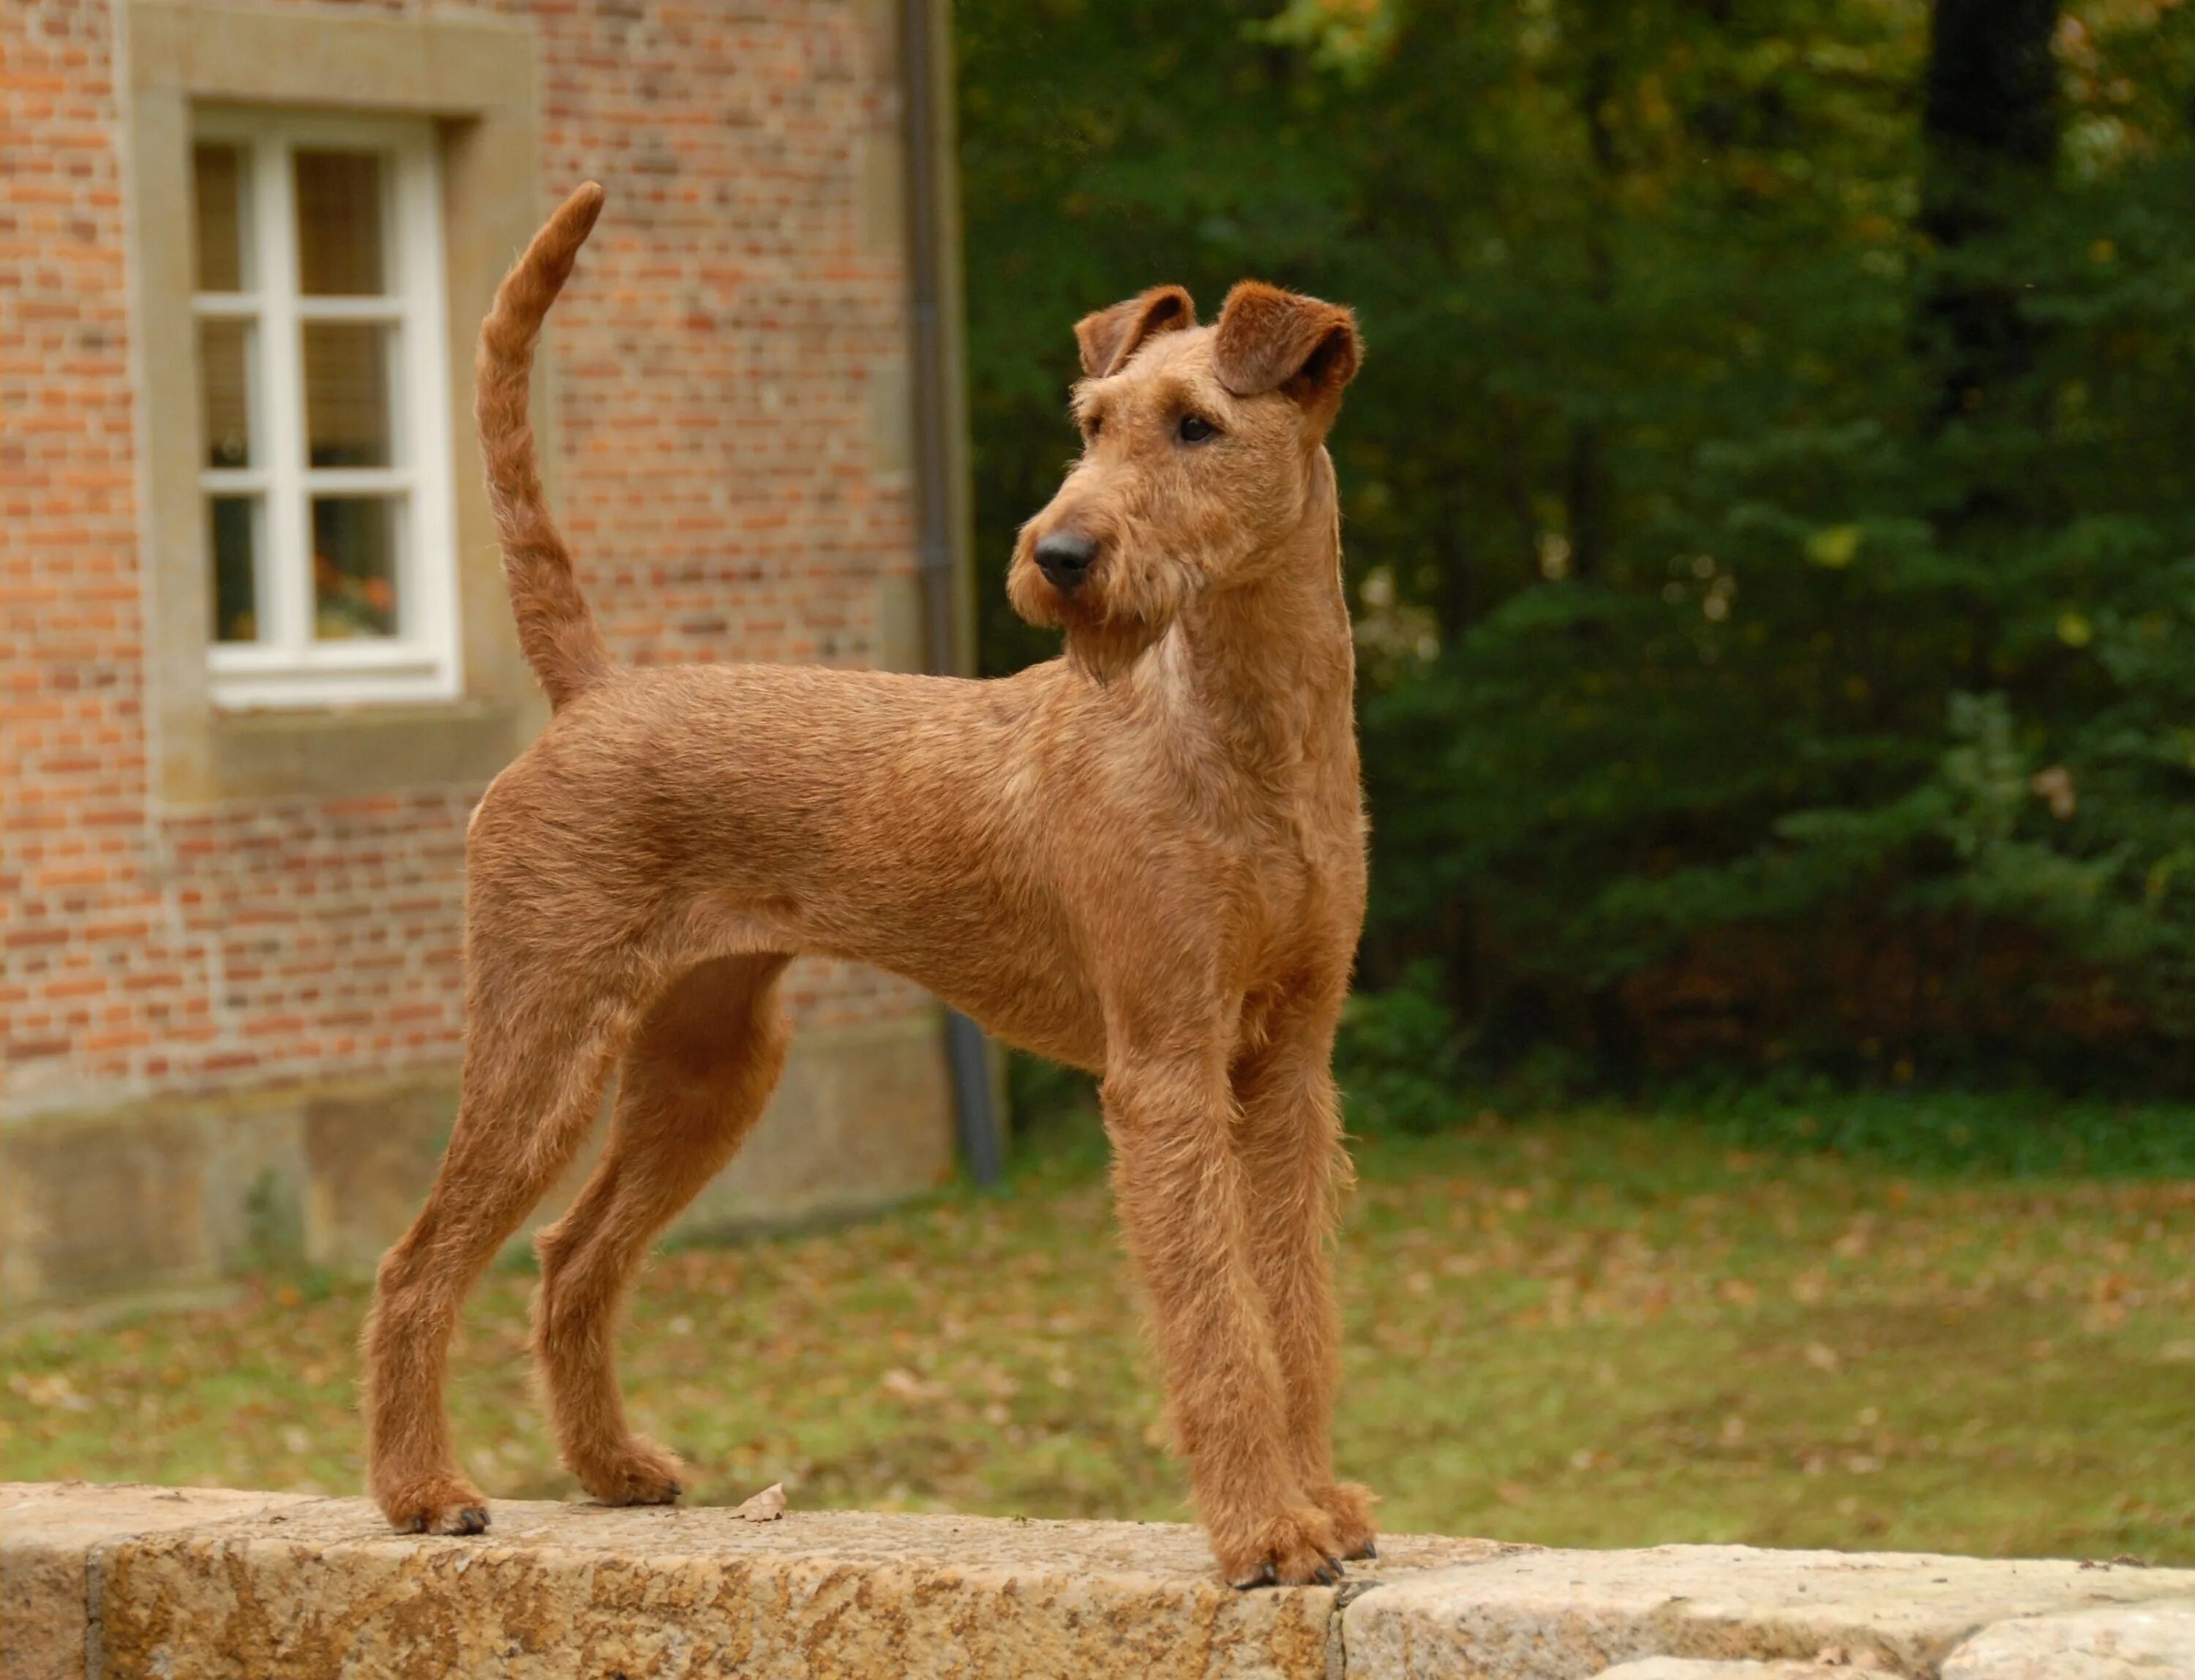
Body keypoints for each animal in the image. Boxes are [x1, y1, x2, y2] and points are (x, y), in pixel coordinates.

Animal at [369, 187, 1378, 1589]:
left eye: (1198, 426)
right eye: (1092, 422)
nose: (1060, 553)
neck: (1247, 735)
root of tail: (592, 693)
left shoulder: (1287, 1065)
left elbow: (1296, 1304)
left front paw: (1321, 1501)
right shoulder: (1166, 1067)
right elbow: (1217, 1322)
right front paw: (1269, 1533)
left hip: (712, 1062)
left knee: (575, 1253)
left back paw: (616, 1470)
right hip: (545, 1036)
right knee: (419, 1264)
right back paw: (422, 1492)